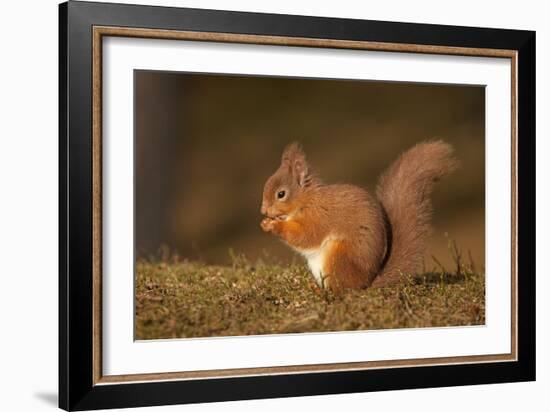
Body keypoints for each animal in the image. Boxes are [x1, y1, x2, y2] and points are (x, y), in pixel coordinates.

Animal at [260, 142, 460, 292]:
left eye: (281, 194)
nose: (263, 211)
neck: (306, 200)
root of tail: (366, 283)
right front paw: (265, 222)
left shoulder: (319, 217)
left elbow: (306, 236)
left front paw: (273, 226)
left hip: (339, 257)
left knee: (343, 290)